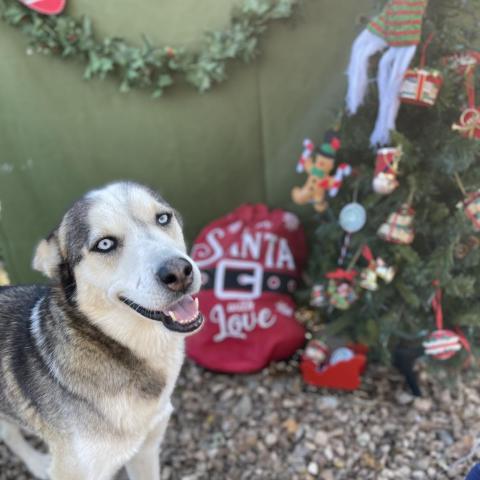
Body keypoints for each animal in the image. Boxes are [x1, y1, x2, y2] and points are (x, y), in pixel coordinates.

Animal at [0, 181, 204, 480]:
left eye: (163, 218)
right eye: (105, 244)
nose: (179, 273)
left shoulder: (146, 449)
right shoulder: (74, 471)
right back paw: (37, 463)